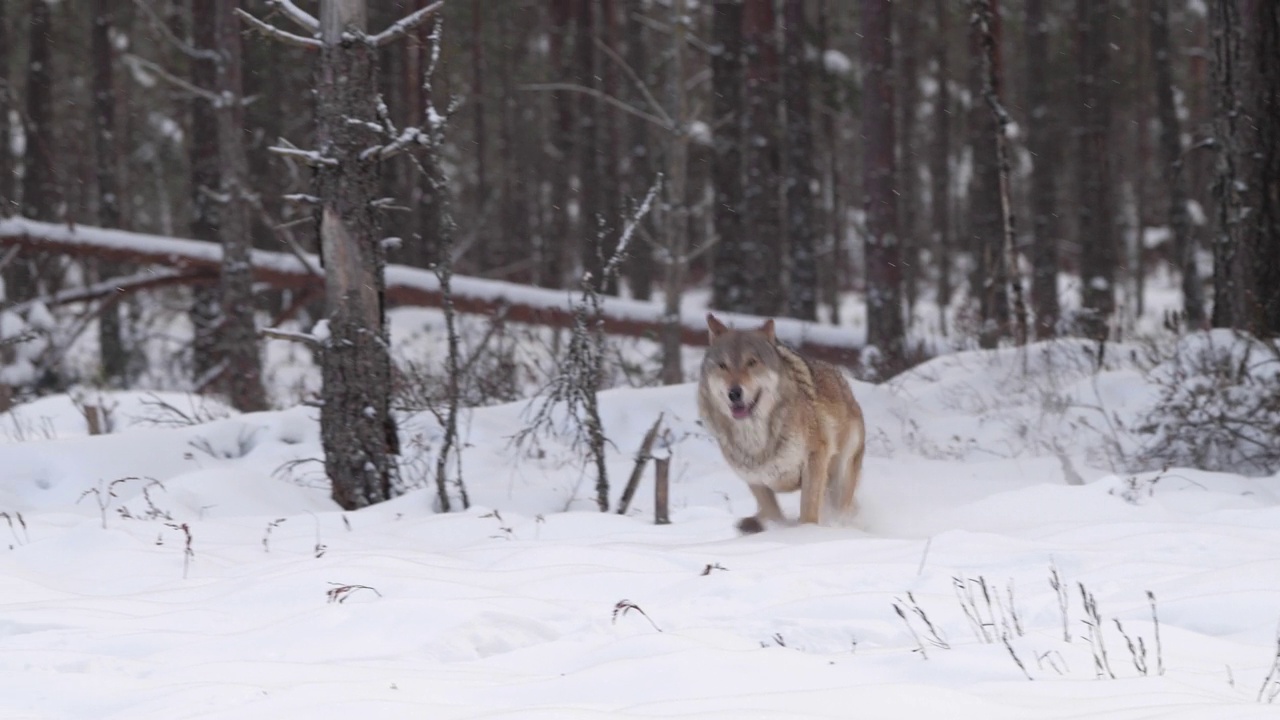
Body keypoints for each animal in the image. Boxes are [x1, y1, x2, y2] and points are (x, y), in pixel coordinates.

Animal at [696, 311, 865, 530]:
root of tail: (842, 379)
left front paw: (807, 532)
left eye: (752, 362)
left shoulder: (814, 459)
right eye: (722, 366)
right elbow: (774, 515)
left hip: (840, 477)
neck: (756, 438)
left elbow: (808, 513)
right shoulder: (756, 481)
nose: (734, 393)